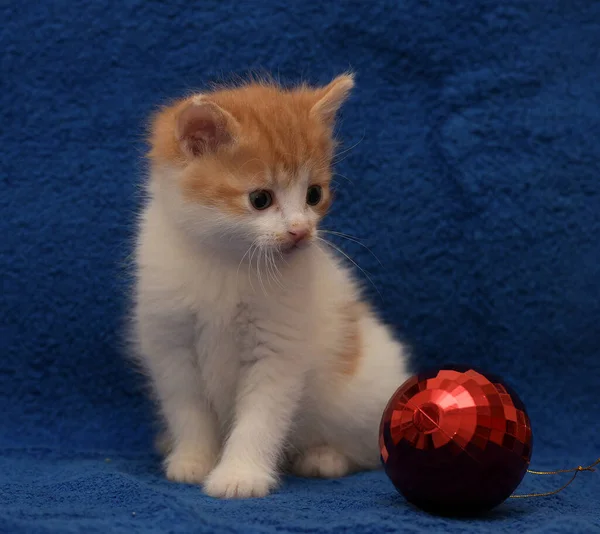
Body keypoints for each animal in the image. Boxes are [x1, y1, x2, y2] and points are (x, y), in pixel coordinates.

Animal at [132, 73, 410, 500]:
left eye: (314, 194)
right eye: (260, 199)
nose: (300, 231)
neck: (227, 262)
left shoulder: (278, 347)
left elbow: (260, 418)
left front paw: (239, 475)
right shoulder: (171, 344)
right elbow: (187, 408)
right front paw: (192, 459)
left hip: (361, 394)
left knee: (365, 446)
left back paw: (324, 457)